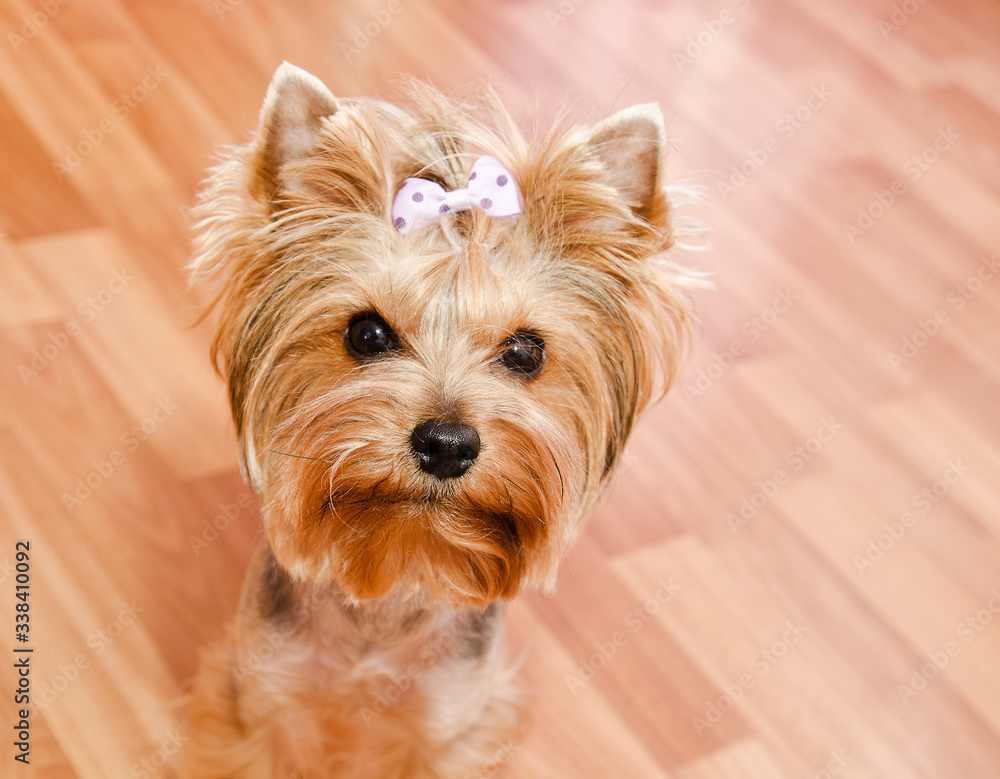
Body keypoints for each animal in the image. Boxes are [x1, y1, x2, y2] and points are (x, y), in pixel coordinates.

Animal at [180, 62, 696, 779]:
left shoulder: (450, 724)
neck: (401, 568)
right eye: (366, 333)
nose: (447, 444)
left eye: (525, 351)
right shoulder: (261, 701)